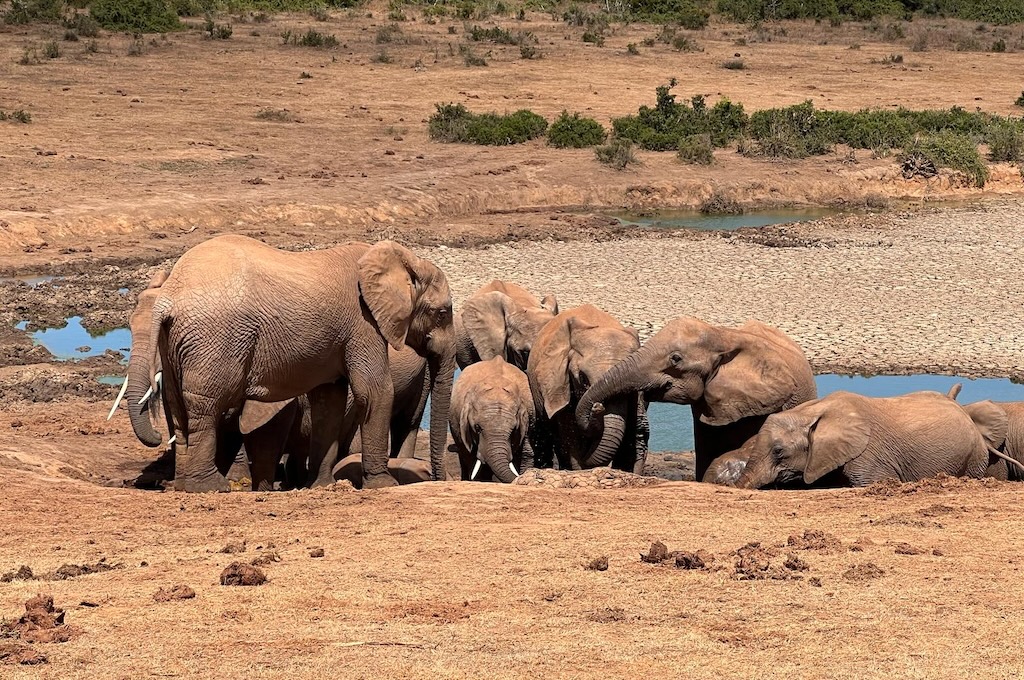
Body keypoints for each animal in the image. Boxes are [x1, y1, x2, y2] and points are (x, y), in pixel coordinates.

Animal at [125, 235, 455, 492]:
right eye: (442, 312)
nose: (437, 478)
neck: (405, 260)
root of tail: (169, 296)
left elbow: (329, 401)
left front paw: (322, 486)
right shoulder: (363, 323)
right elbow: (374, 391)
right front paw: (384, 484)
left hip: (175, 341)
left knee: (178, 407)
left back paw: (184, 487)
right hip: (215, 339)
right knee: (206, 404)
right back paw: (210, 488)